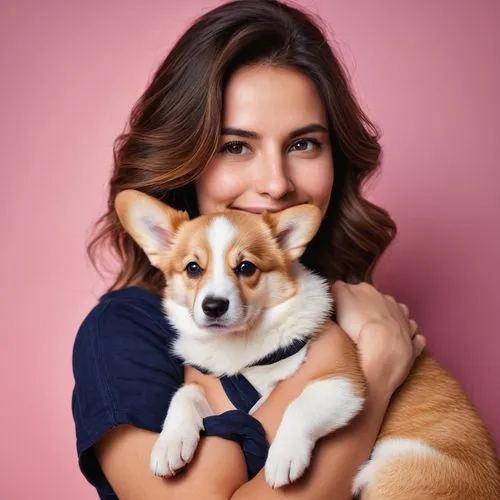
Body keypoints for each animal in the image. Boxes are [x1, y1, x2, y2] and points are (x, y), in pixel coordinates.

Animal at [115, 190, 498, 496]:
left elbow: (295, 406)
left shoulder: (343, 383)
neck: (243, 344)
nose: (214, 306)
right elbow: (186, 394)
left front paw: (284, 456)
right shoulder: (209, 387)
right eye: (193, 268)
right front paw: (171, 442)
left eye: (246, 268)